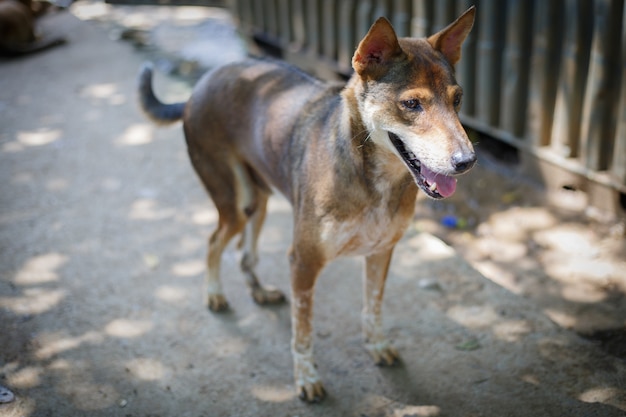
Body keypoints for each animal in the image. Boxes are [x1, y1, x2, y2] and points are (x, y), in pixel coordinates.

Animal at [139, 6, 476, 402]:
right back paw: (215, 295)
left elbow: (372, 306)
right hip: (233, 201)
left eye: (457, 99)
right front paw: (307, 378)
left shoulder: (381, 252)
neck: (374, 180)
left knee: (243, 252)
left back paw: (258, 290)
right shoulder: (303, 261)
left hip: (258, 200)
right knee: (214, 242)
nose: (468, 161)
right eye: (411, 104)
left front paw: (376, 346)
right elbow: (302, 333)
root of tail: (201, 83)